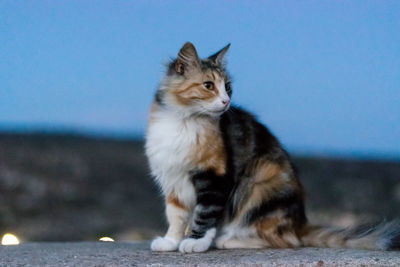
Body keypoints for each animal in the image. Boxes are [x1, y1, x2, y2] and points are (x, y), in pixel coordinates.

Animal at [145, 42, 400, 253]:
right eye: (208, 86)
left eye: (227, 87)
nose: (226, 101)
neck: (184, 120)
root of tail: (300, 222)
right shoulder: (173, 180)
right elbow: (176, 216)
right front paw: (170, 241)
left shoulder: (214, 176)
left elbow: (204, 213)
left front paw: (196, 242)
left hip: (259, 183)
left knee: (284, 240)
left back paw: (226, 240)